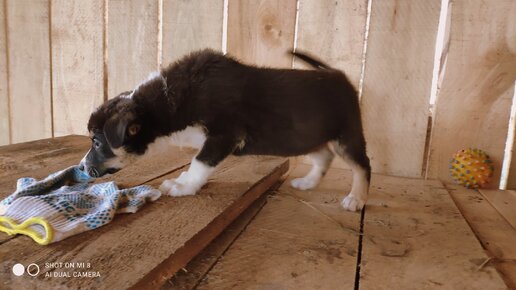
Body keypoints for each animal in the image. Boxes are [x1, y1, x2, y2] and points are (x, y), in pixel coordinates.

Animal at [79, 48, 370, 210]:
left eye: (97, 142)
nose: (81, 167)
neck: (165, 102)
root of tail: (337, 73)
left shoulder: (224, 136)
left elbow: (199, 162)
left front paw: (183, 187)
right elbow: (196, 163)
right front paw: (184, 180)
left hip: (348, 135)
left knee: (362, 165)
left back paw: (356, 199)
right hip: (309, 137)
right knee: (324, 156)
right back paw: (308, 182)